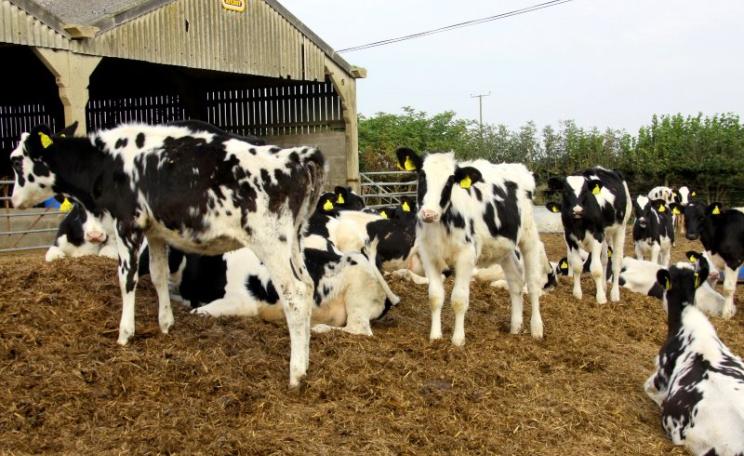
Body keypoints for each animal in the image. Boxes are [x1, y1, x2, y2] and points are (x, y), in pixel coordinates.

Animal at [10, 120, 325, 387]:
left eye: (14, 161)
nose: (12, 200)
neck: (107, 161)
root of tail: (296, 155)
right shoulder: (155, 232)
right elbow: (158, 276)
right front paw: (165, 324)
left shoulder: (127, 224)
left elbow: (127, 279)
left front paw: (125, 334)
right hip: (294, 241)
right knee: (308, 286)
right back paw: (306, 361)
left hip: (270, 242)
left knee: (295, 294)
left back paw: (296, 373)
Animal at [395, 147, 544, 345]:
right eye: (422, 175)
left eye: (450, 181)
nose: (429, 213)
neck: (442, 225)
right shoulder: (428, 254)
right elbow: (435, 297)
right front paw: (435, 336)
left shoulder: (466, 256)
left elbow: (459, 299)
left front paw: (458, 340)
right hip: (504, 248)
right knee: (515, 281)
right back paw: (515, 327)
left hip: (529, 236)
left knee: (533, 284)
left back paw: (536, 329)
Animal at [546, 167, 631, 304]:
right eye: (565, 191)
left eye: (585, 191)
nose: (577, 210)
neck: (580, 224)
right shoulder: (570, 237)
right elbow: (577, 266)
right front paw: (577, 294)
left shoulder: (597, 235)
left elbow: (596, 269)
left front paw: (600, 298)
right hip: (604, 234)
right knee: (604, 260)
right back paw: (603, 286)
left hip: (620, 228)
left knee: (616, 262)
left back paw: (614, 294)